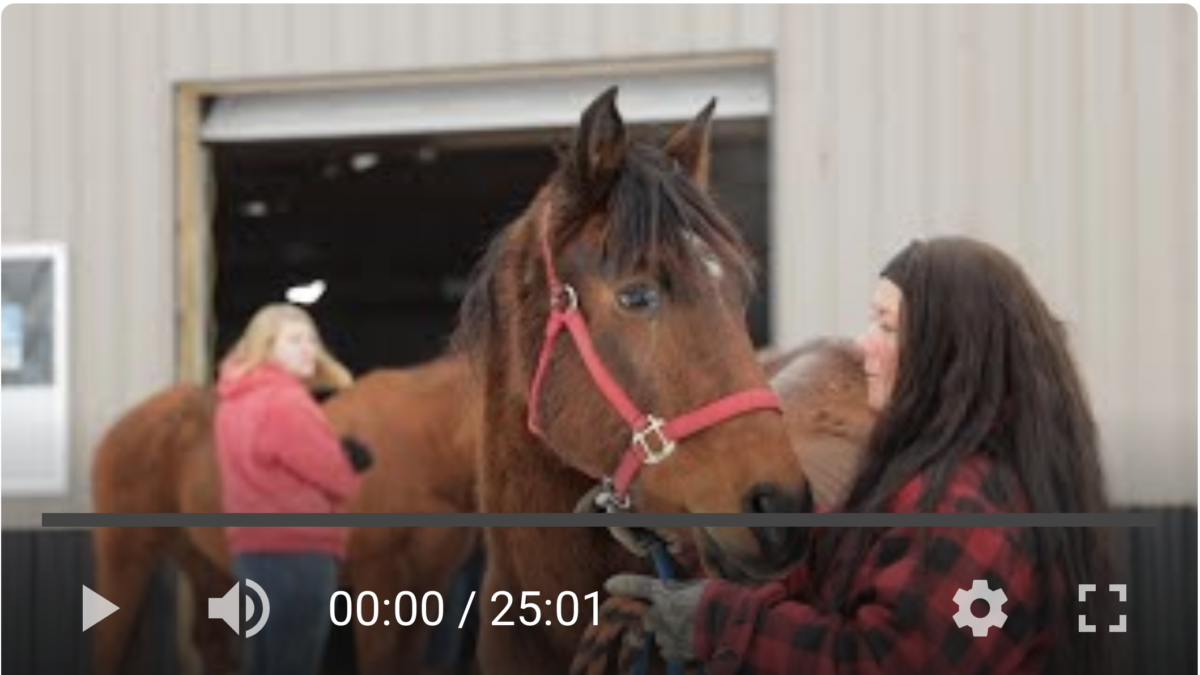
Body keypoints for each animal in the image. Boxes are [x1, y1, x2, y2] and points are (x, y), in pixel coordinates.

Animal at [90, 355, 481, 675]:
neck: (427, 441)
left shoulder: (430, 581)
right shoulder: (379, 572)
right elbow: (381, 661)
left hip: (202, 560)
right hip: (124, 552)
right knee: (109, 639)